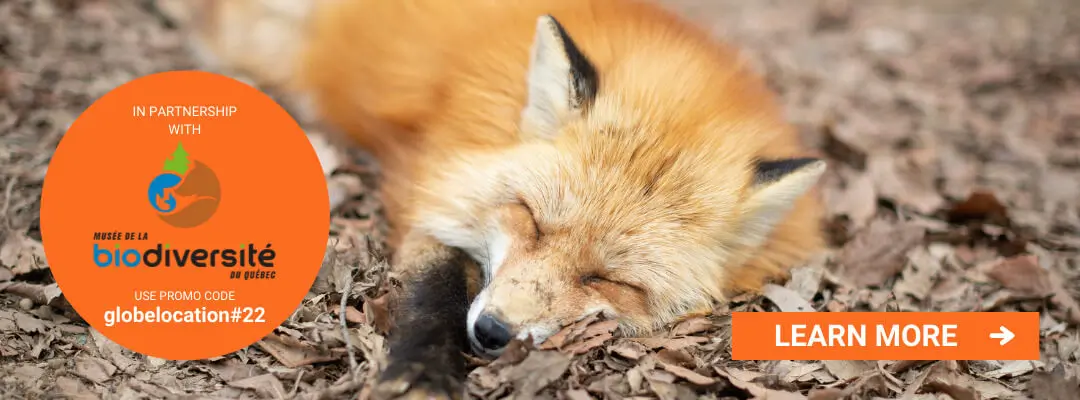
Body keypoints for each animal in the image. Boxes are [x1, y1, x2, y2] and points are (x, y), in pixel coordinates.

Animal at [158, 0, 829, 398]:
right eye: (531, 220)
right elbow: (434, 293)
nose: (493, 331)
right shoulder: (437, 192)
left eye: (608, 280)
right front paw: (422, 374)